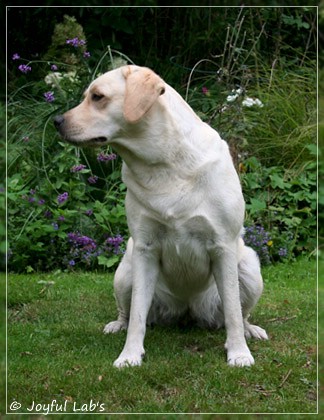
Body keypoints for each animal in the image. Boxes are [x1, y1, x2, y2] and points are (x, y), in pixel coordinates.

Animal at [55, 65, 268, 368]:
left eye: (97, 97)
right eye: (88, 96)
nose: (56, 121)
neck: (164, 162)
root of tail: (187, 311)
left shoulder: (223, 247)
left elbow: (233, 314)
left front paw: (239, 353)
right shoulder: (145, 249)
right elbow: (137, 318)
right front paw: (130, 355)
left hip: (249, 266)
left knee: (241, 311)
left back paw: (251, 330)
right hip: (126, 270)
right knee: (127, 312)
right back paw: (116, 325)